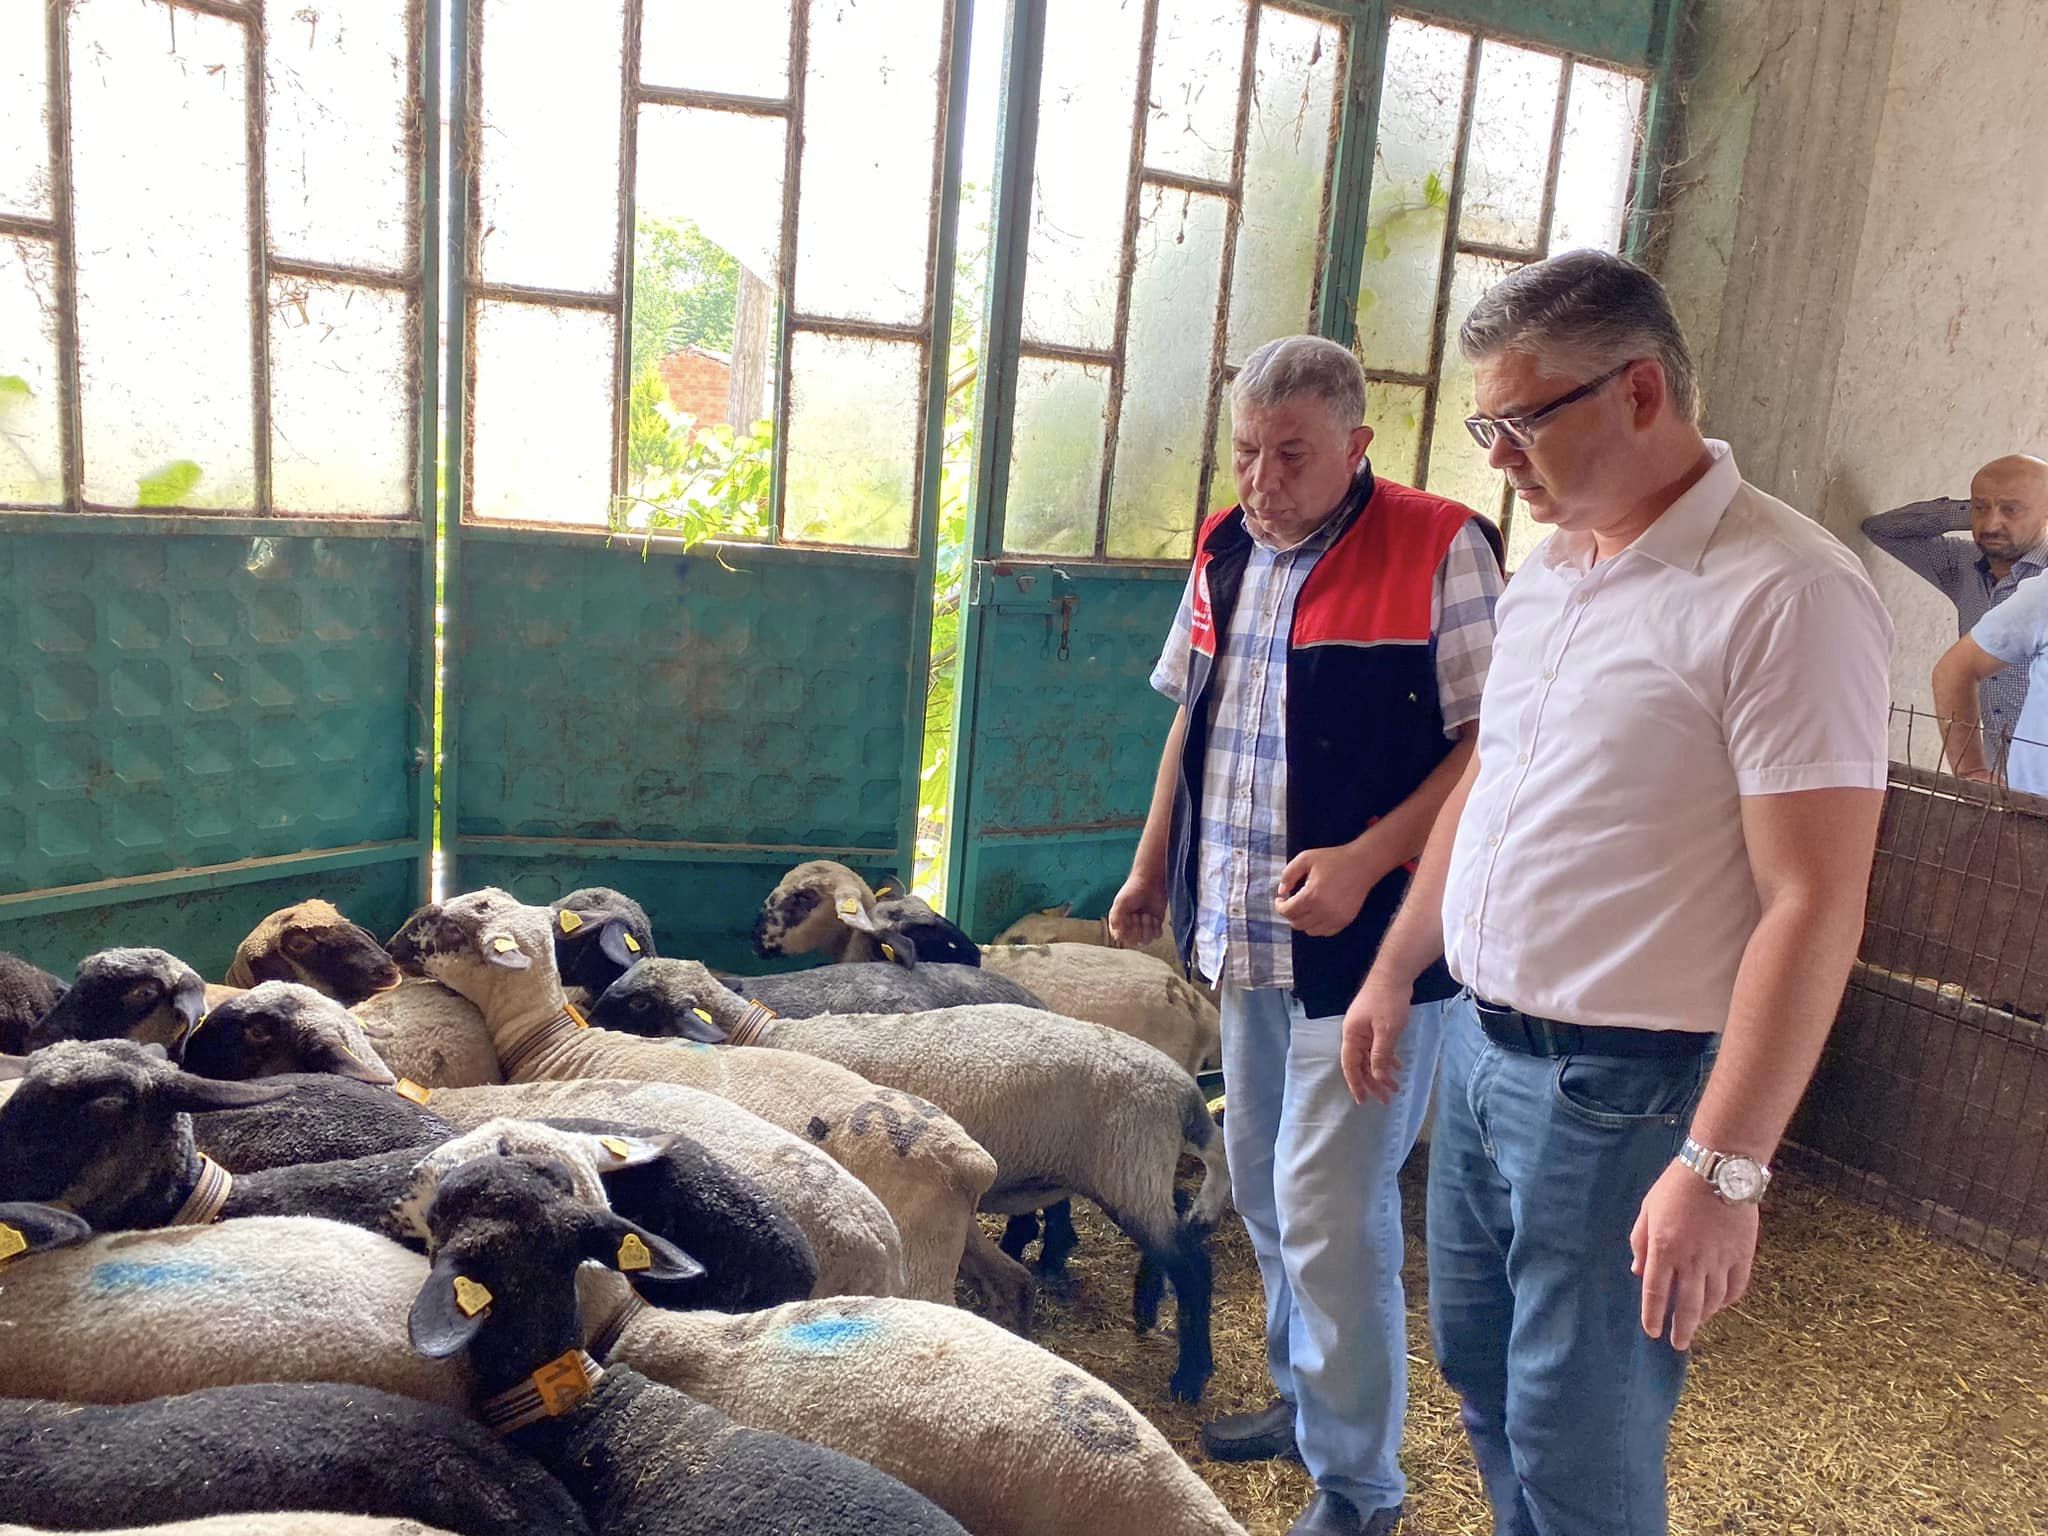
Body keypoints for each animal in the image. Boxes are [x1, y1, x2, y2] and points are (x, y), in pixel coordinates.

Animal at [589, 957, 1229, 1401]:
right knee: (1172, 1225)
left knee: (1192, 1262)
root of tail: (1182, 1089)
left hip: (1126, 1165)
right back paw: (1139, 1305)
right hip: (1135, 1168)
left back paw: (1190, 1375)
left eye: (639, 1003)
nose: (586, 1021)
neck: (769, 1038)